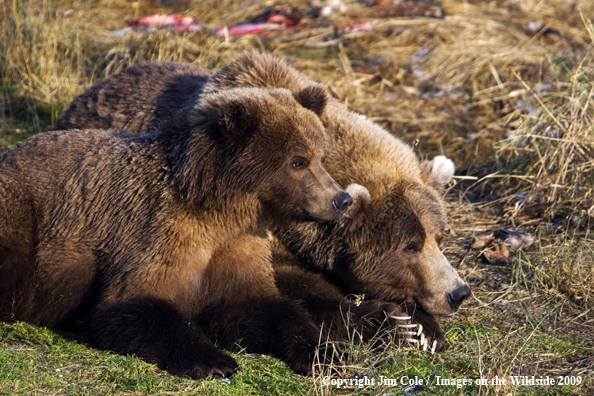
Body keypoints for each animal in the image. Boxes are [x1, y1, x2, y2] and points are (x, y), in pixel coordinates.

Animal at [0, 86, 354, 378]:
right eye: (297, 161)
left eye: (320, 157)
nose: (341, 200)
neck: (220, 210)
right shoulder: (160, 231)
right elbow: (134, 304)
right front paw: (215, 361)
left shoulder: (236, 246)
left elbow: (257, 306)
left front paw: (326, 354)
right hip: (21, 212)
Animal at [56, 52, 472, 352]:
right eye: (410, 245)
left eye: (438, 236)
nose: (458, 292)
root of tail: (93, 90)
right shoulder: (262, 234)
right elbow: (296, 288)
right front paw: (393, 323)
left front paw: (424, 328)